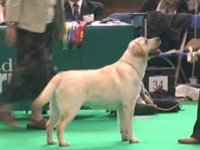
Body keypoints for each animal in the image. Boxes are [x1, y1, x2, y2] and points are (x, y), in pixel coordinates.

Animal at [32, 36, 161, 146]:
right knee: (59, 126)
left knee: (49, 124)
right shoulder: (129, 105)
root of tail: (60, 76)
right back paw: (63, 143)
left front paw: (125, 138)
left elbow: (123, 125)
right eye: (146, 41)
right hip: (70, 109)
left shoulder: (121, 108)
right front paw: (132, 139)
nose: (158, 38)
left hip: (56, 109)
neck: (131, 65)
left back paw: (51, 141)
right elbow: (130, 125)